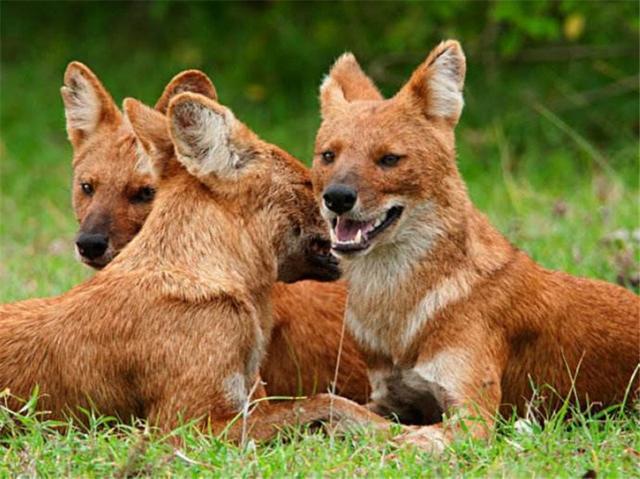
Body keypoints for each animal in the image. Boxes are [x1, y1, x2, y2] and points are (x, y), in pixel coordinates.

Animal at [314, 39, 640, 452]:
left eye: (389, 159)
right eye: (328, 155)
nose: (337, 197)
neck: (397, 310)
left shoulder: (473, 417)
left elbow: (386, 429)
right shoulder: (390, 396)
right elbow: (344, 405)